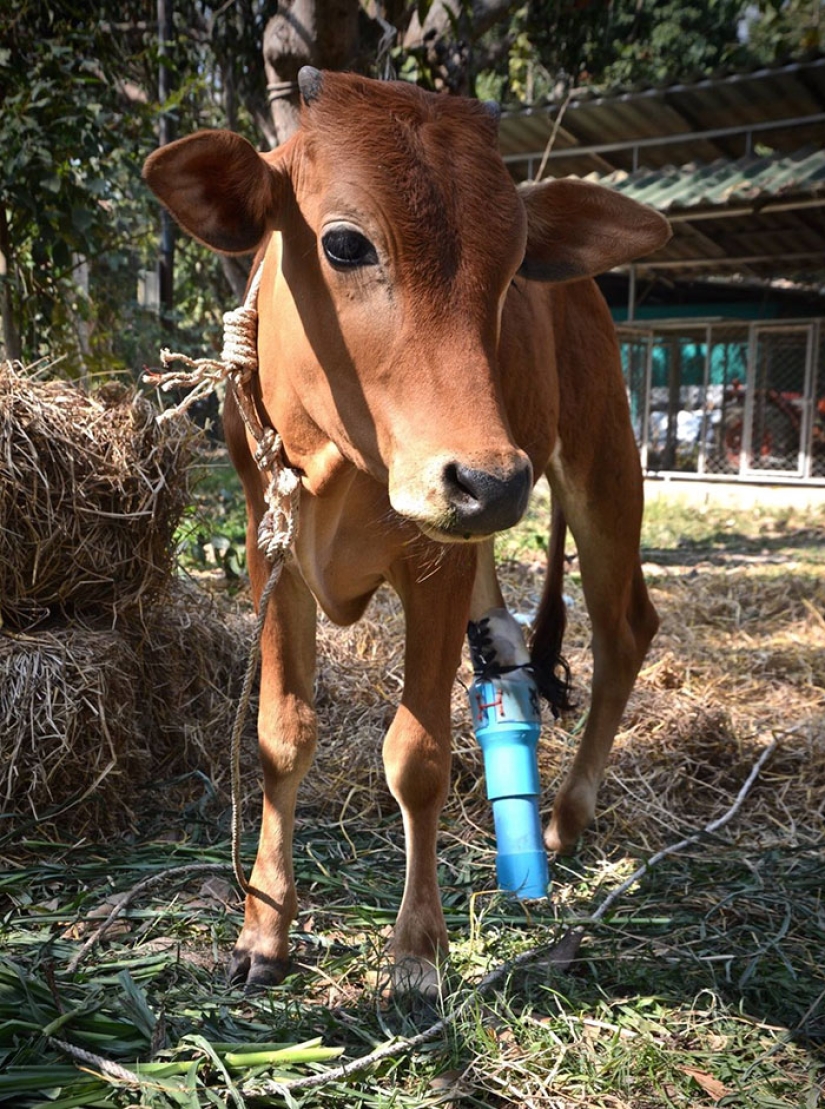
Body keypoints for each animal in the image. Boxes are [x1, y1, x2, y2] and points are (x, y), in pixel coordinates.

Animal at [143, 67, 670, 992]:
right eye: (345, 244)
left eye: (512, 268)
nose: (491, 481)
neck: (342, 460)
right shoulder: (271, 549)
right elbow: (282, 735)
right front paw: (262, 930)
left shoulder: (434, 564)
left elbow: (417, 755)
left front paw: (417, 947)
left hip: (602, 461)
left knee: (623, 627)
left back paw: (566, 816)